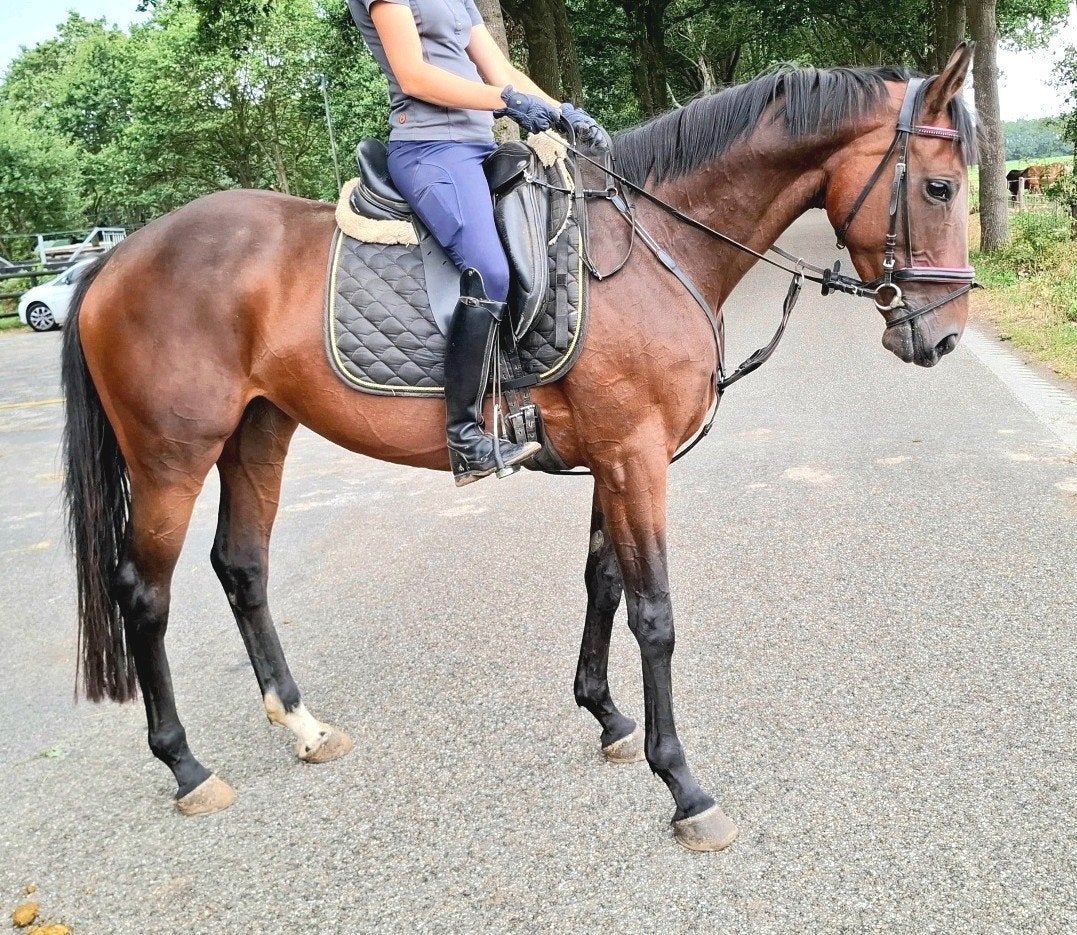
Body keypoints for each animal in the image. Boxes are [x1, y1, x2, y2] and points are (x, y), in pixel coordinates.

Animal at [61, 45, 977, 851]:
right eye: (938, 185)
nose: (943, 338)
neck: (654, 246)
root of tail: (117, 256)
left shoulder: (616, 458)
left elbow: (602, 583)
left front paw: (607, 716)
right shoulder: (634, 456)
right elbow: (653, 614)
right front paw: (683, 786)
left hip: (257, 432)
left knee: (242, 566)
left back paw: (303, 724)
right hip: (172, 456)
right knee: (143, 591)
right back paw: (185, 765)